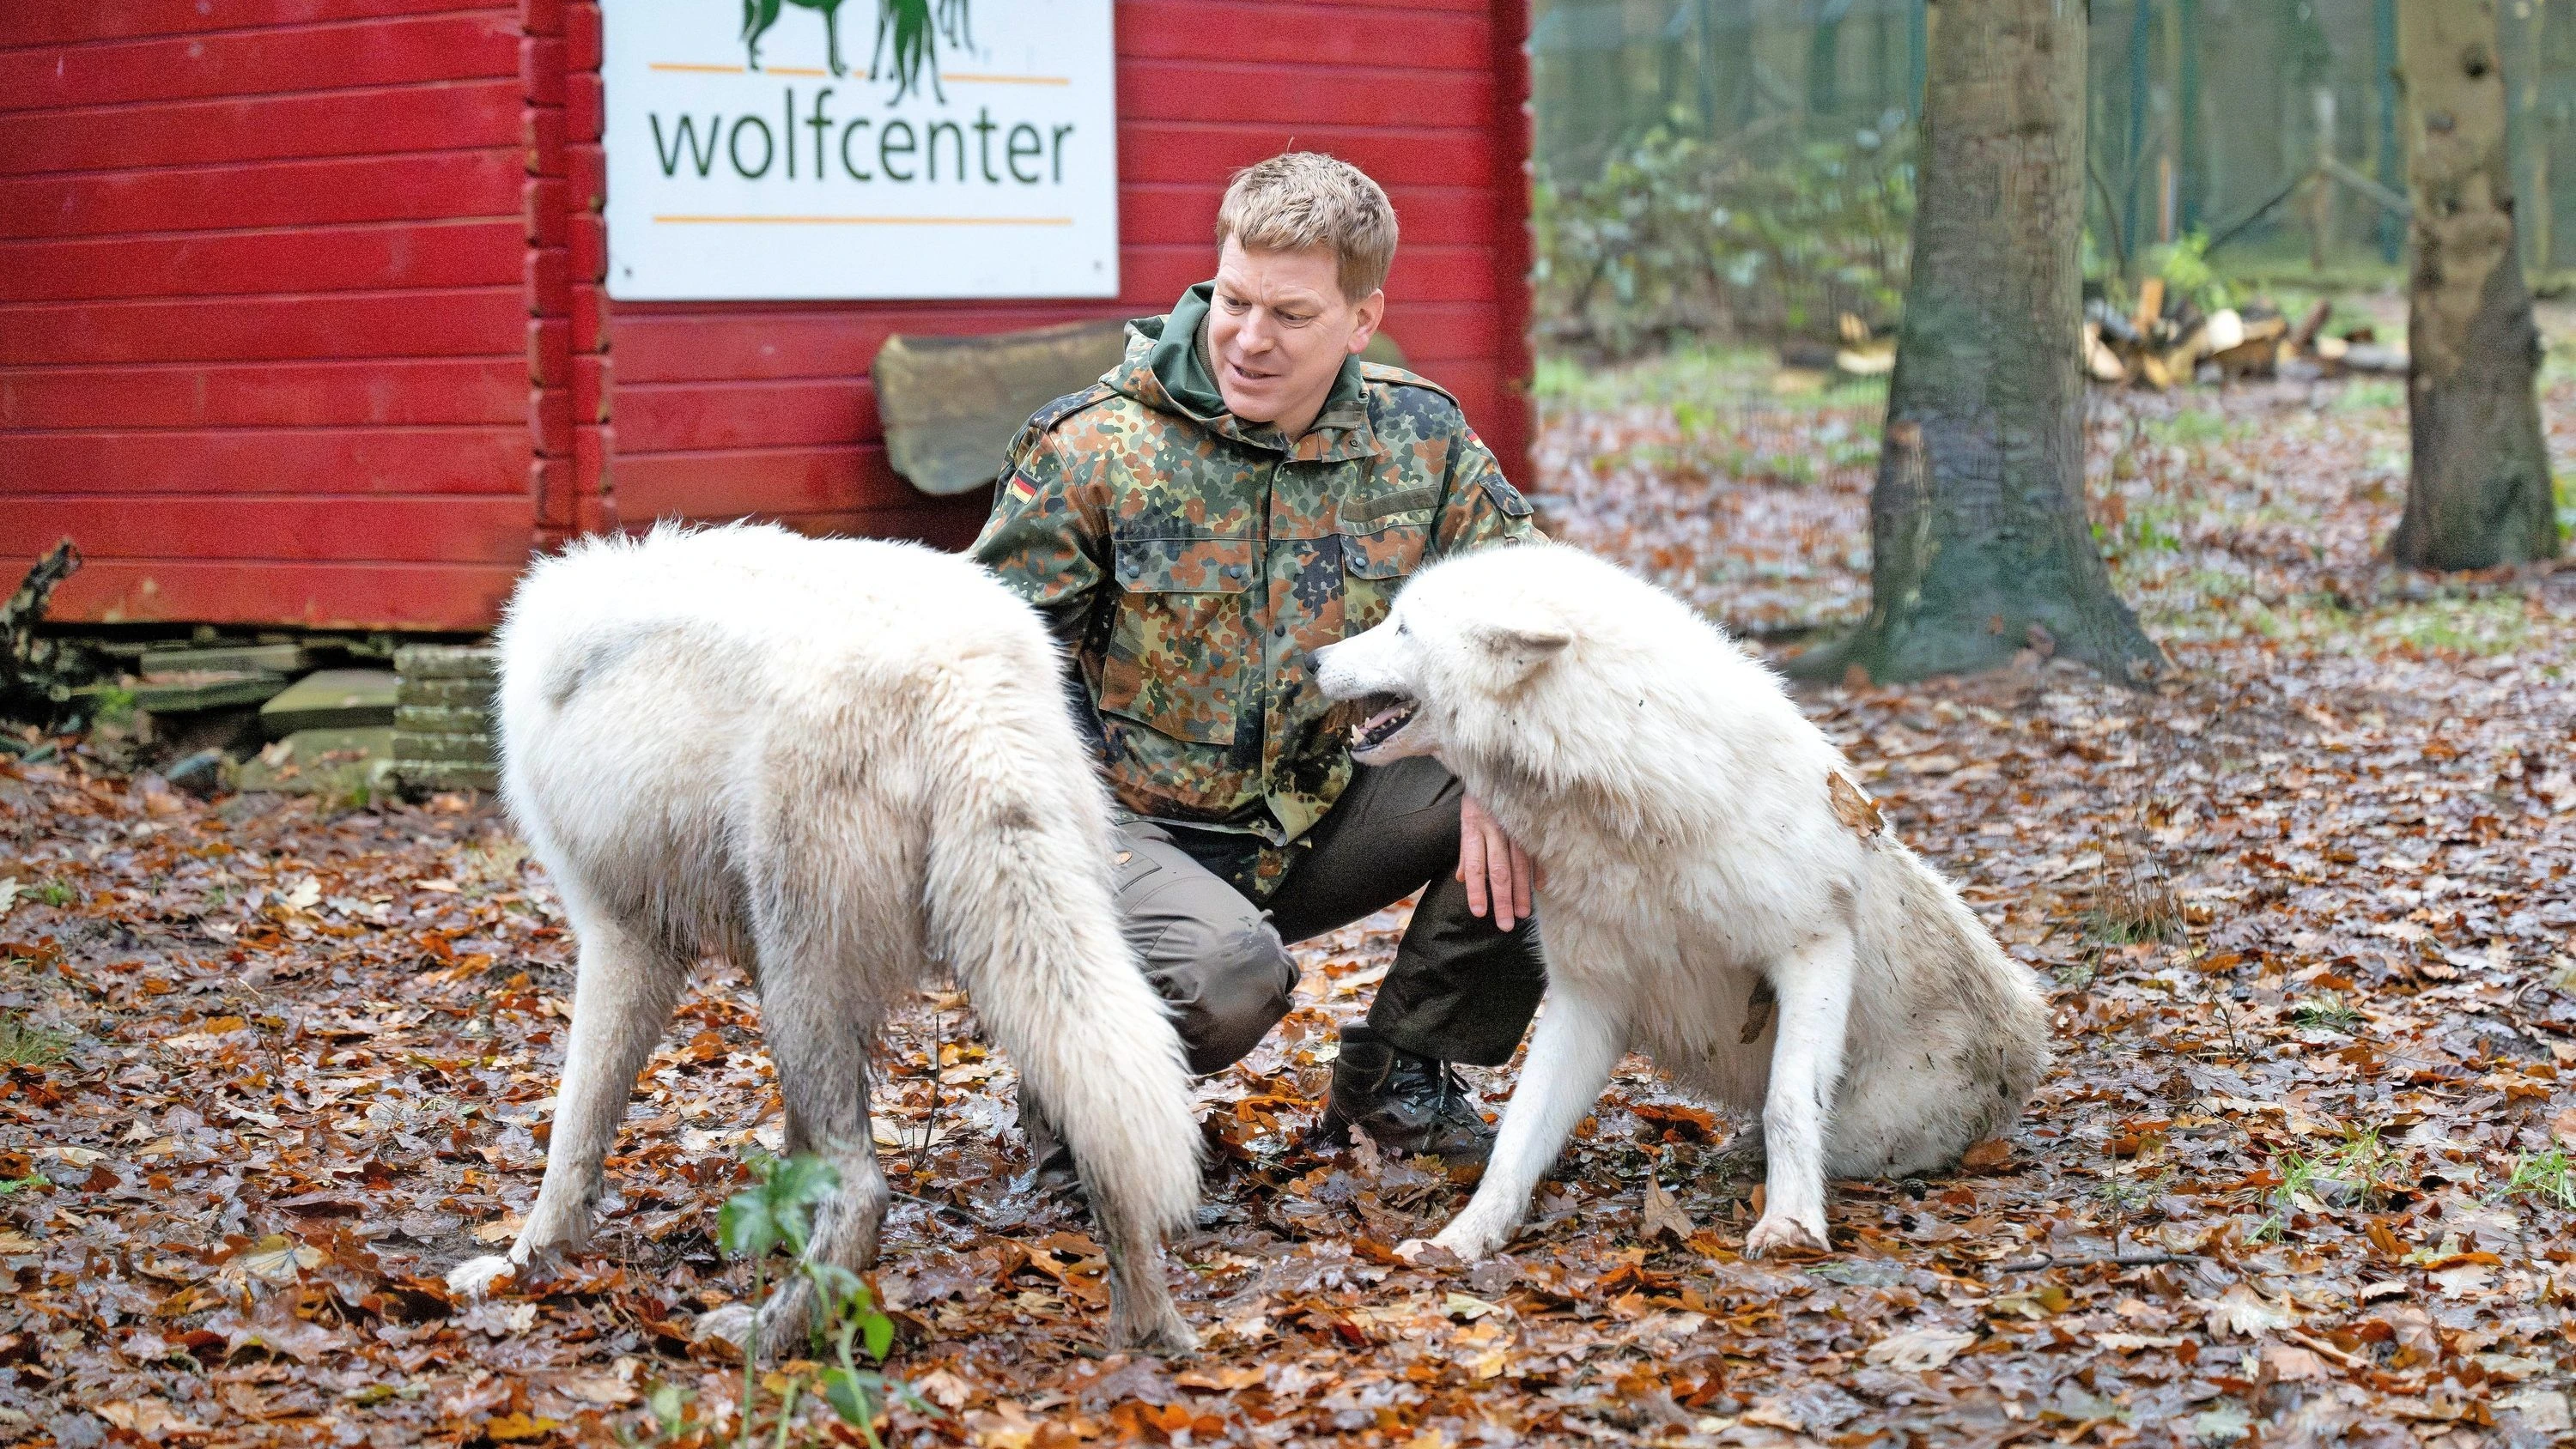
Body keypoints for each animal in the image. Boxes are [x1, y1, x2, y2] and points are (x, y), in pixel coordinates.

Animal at [444, 523, 1201, 1354]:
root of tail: (959, 677)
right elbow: (792, 1149)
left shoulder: (625, 941)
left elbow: (572, 1135)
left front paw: (522, 1265)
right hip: (1015, 954)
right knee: (1110, 1138)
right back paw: (1147, 1332)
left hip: (805, 991)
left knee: (867, 1189)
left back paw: (763, 1335)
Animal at [1312, 543, 2050, 1260]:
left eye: (1402, 628)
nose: (1312, 660)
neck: (1632, 803)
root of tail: (2029, 1039)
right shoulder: (1588, 998)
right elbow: (1518, 1135)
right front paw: (1462, 1240)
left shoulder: (1812, 946)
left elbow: (1789, 1104)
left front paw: (1790, 1228)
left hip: (1879, 1120)